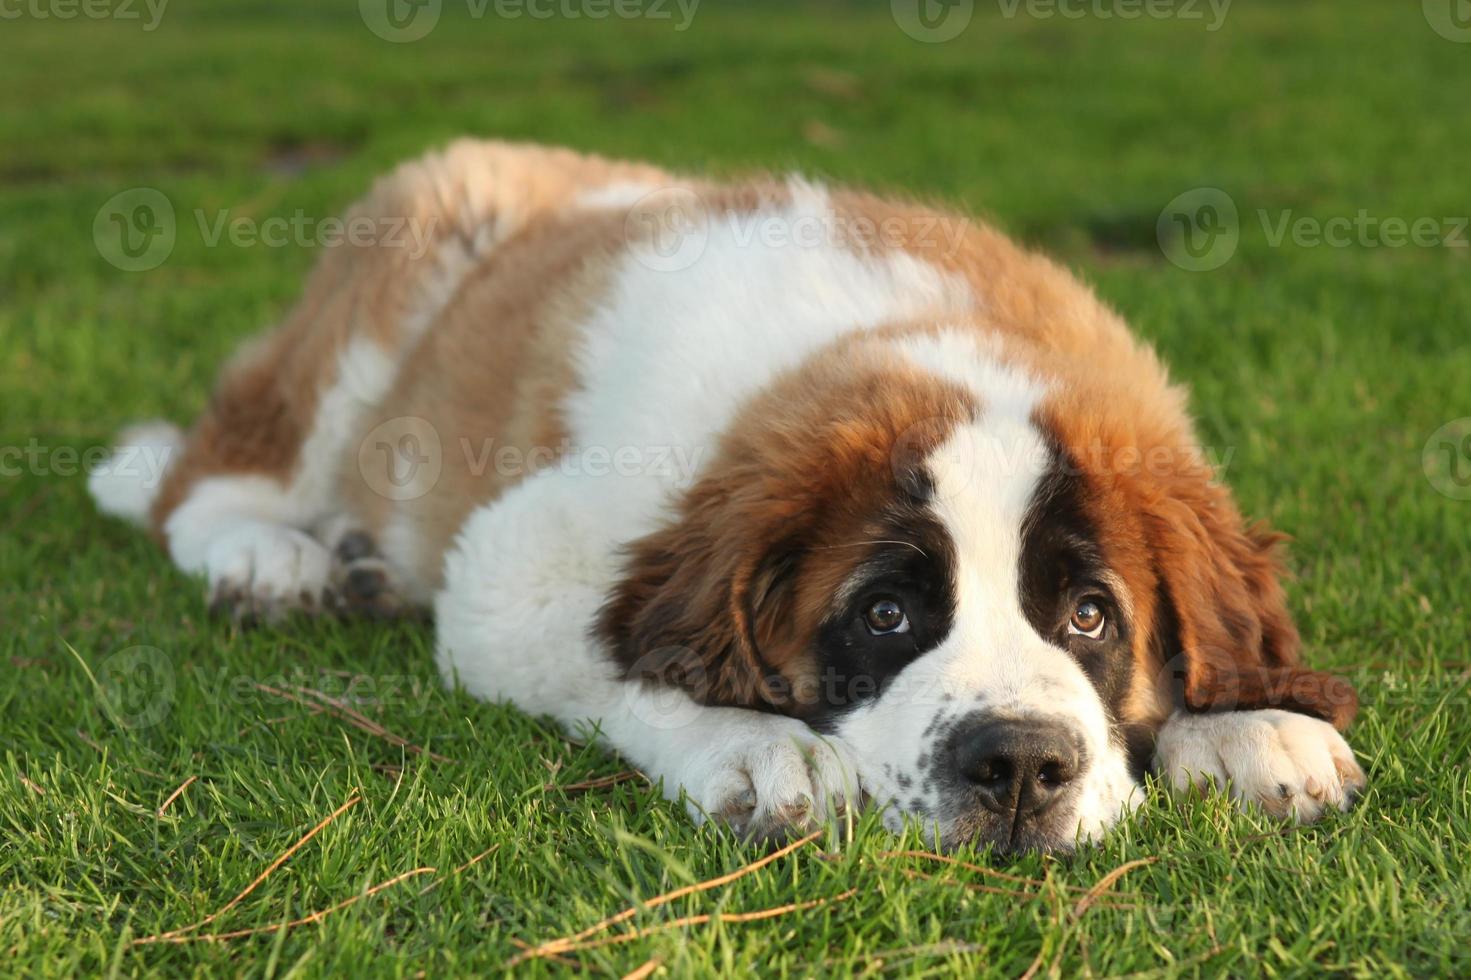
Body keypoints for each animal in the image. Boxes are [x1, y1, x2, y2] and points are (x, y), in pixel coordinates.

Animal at [86, 141, 1359, 853]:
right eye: (885, 614)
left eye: (1090, 614)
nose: (1019, 768)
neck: (918, 346)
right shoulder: (517, 563)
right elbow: (621, 657)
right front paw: (754, 746)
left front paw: (1250, 722)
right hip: (374, 324)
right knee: (207, 474)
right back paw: (274, 558)